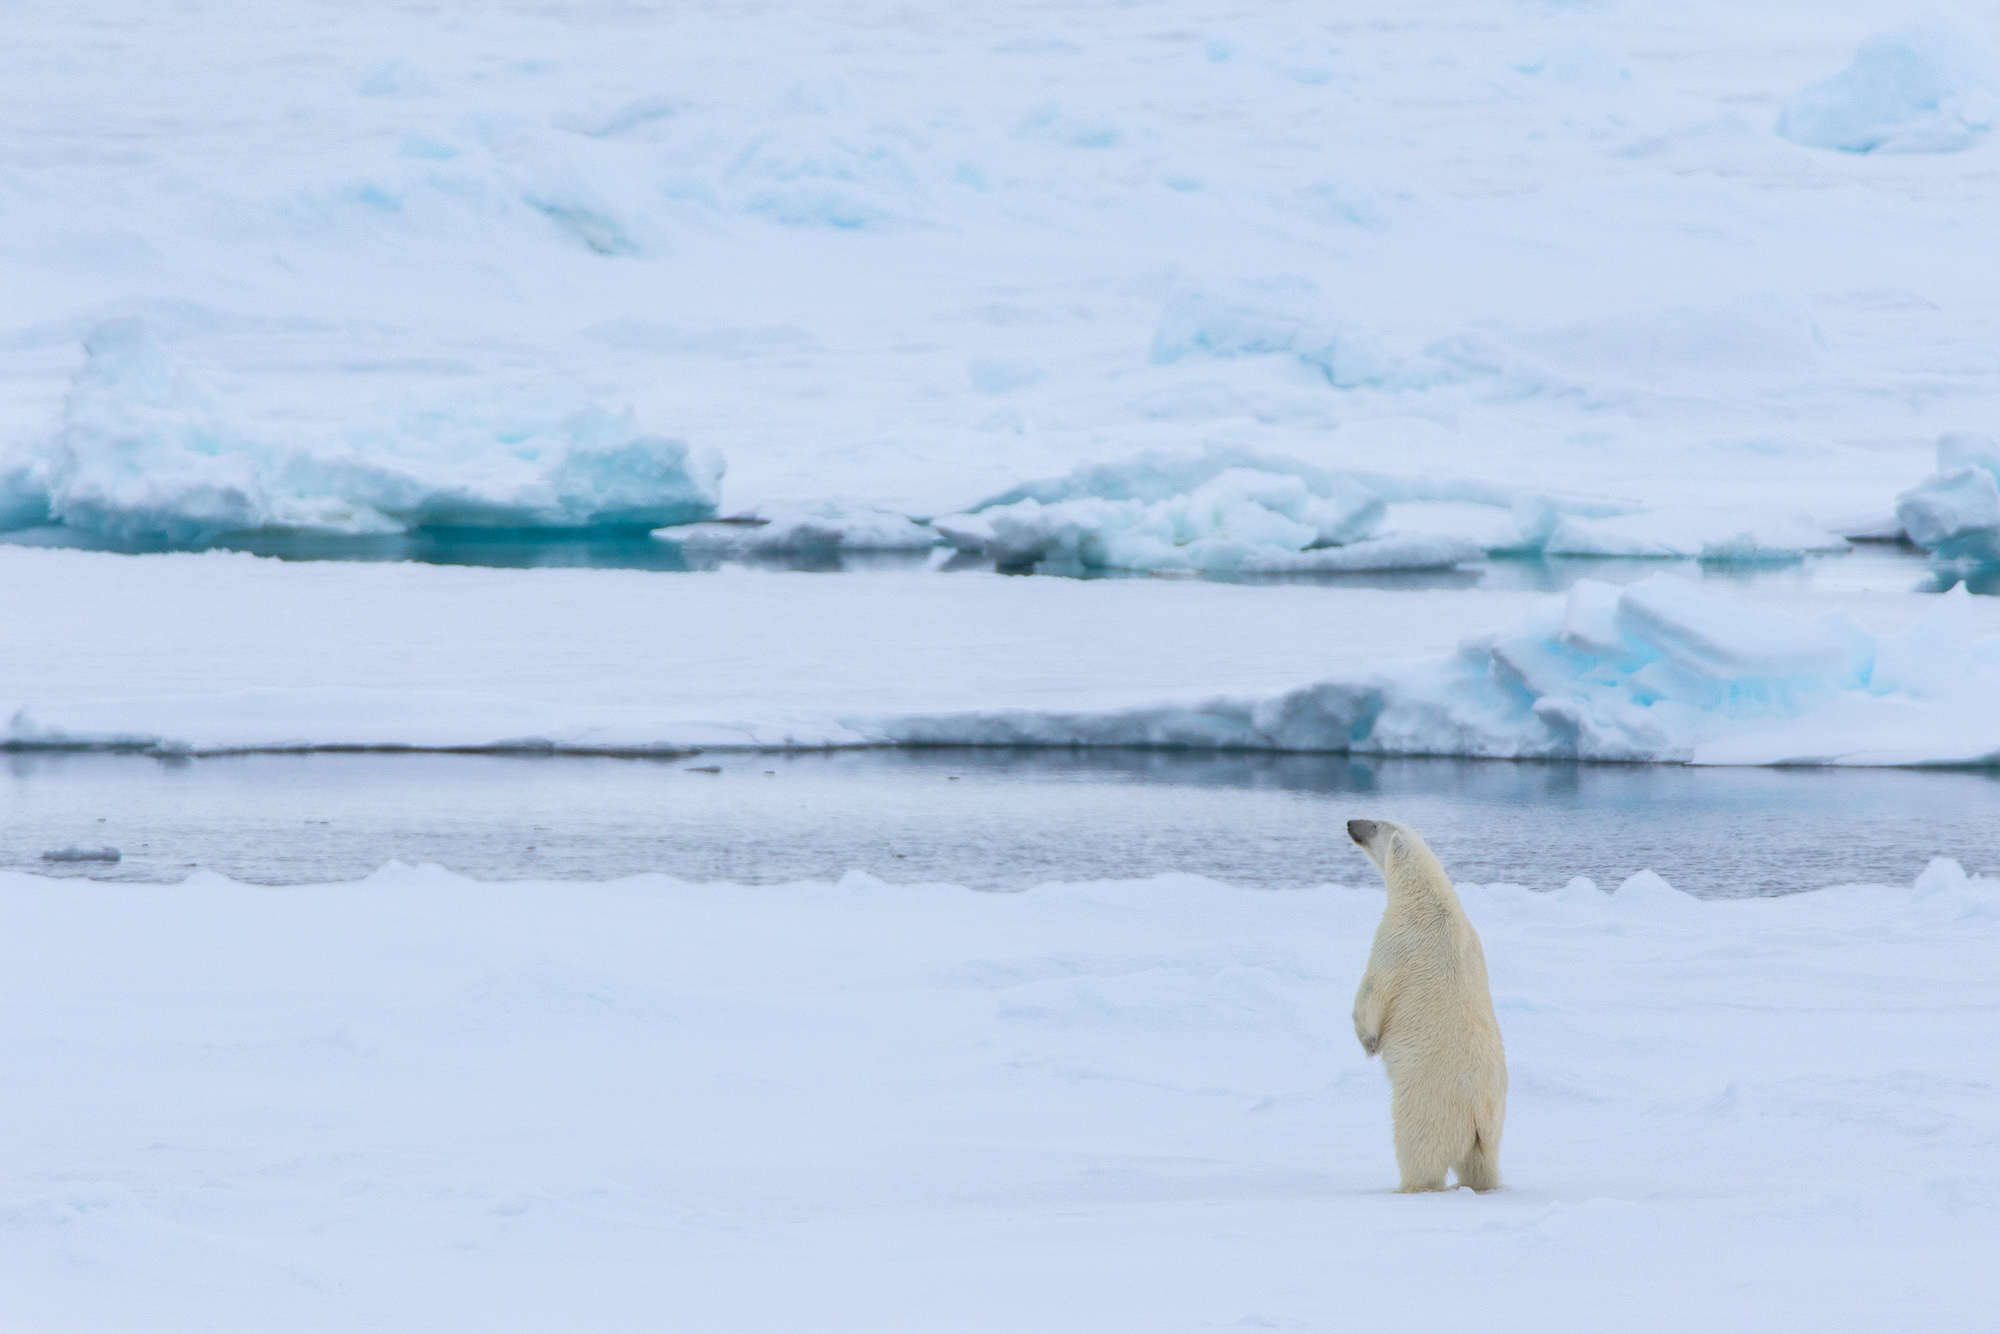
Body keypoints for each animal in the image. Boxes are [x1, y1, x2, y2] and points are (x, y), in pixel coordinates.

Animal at [1344, 820, 1504, 1192]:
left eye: (1374, 824)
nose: (1349, 824)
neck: (1429, 896)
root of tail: (1478, 1115)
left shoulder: (1397, 938)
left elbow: (1373, 988)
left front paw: (1368, 1042)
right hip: (1493, 1128)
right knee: (1481, 1166)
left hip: (1429, 1109)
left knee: (1417, 1150)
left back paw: (1406, 1187)